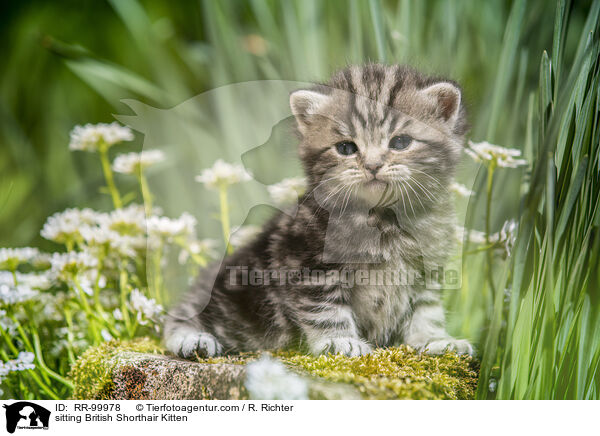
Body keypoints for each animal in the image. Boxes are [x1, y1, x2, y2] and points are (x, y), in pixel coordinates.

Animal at [164, 63, 474, 358]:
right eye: (346, 148)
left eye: (400, 142)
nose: (372, 165)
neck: (382, 219)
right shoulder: (306, 264)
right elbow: (324, 308)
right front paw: (340, 341)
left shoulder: (427, 271)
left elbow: (426, 310)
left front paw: (434, 340)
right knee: (180, 315)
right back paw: (194, 339)